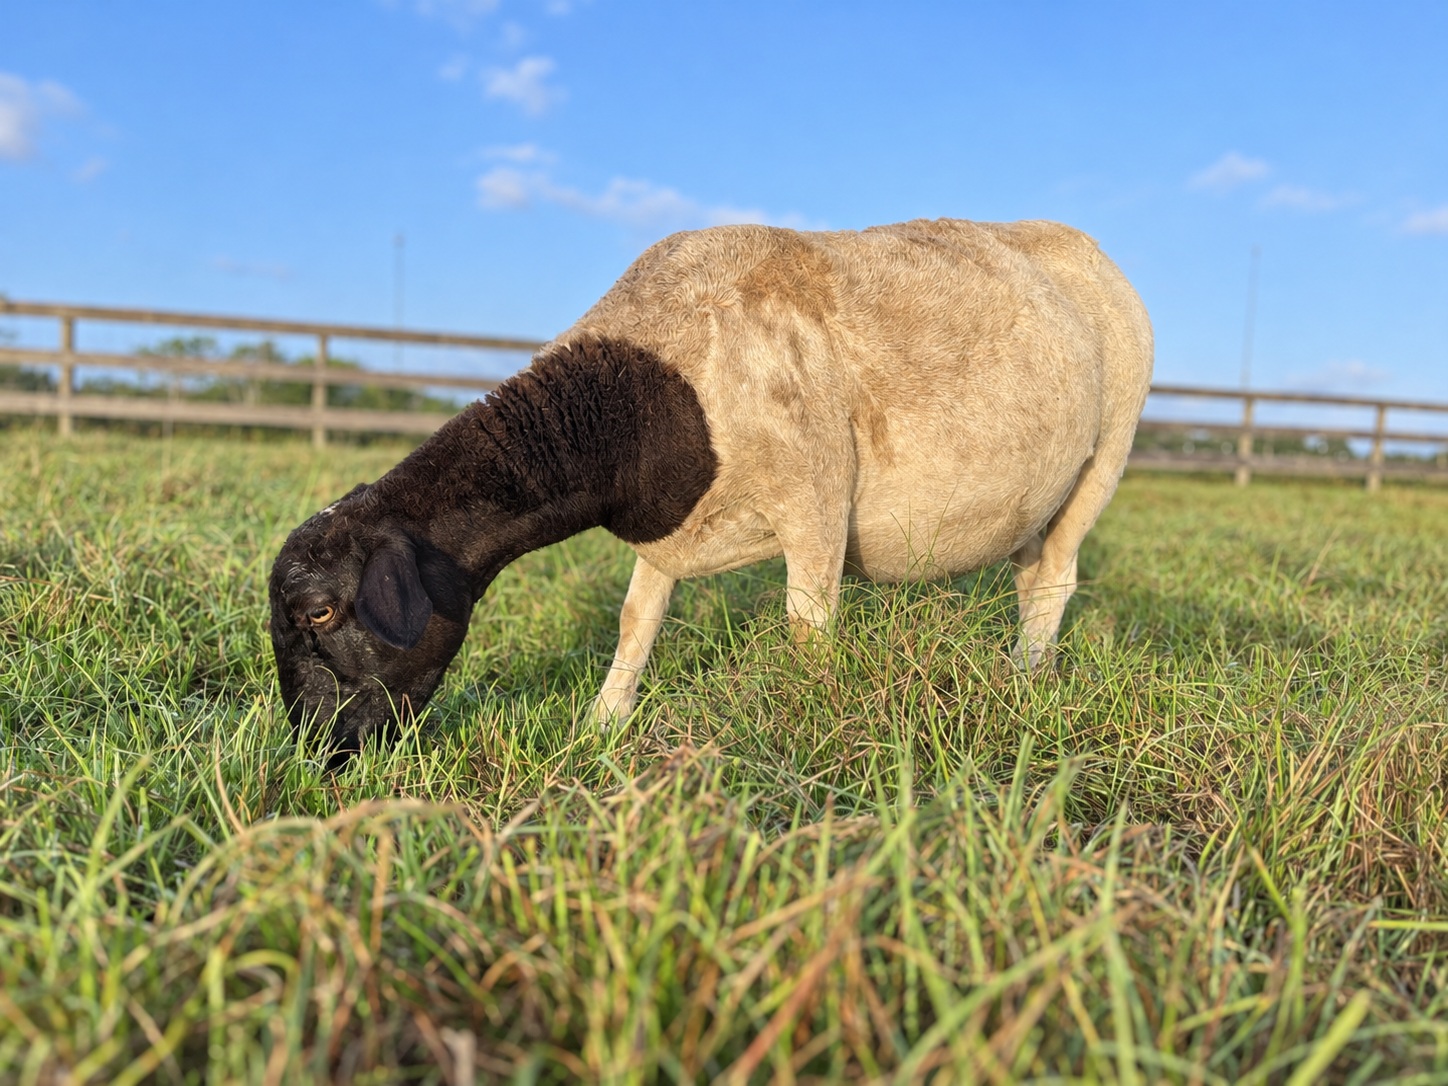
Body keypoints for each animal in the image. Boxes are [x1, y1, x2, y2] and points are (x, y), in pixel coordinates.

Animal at [269, 218, 1153, 764]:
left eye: (320, 613)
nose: (315, 754)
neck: (645, 392)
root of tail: (1080, 243)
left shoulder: (816, 503)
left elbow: (808, 632)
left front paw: (804, 731)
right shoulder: (664, 532)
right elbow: (635, 623)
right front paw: (602, 726)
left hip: (1107, 452)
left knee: (1059, 578)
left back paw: (1025, 683)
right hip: (1037, 499)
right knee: (1033, 576)